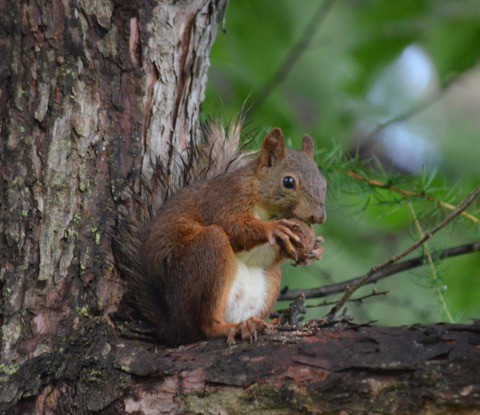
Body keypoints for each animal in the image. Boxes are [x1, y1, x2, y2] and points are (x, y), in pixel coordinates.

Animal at [117, 125, 326, 346]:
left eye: (324, 183)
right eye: (288, 181)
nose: (320, 216)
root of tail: (173, 327)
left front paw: (312, 251)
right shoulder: (226, 199)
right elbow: (234, 227)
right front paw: (273, 228)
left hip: (269, 278)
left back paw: (266, 323)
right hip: (208, 252)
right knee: (204, 326)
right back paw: (232, 328)